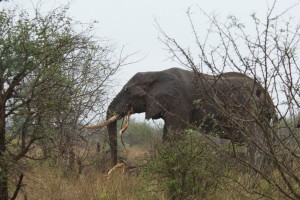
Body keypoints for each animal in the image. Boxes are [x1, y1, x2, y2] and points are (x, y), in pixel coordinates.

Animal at [86, 67, 276, 166]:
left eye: (127, 91)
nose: (115, 168)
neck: (156, 73)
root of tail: (264, 93)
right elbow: (167, 136)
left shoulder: (179, 103)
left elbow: (174, 136)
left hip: (248, 111)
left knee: (256, 143)